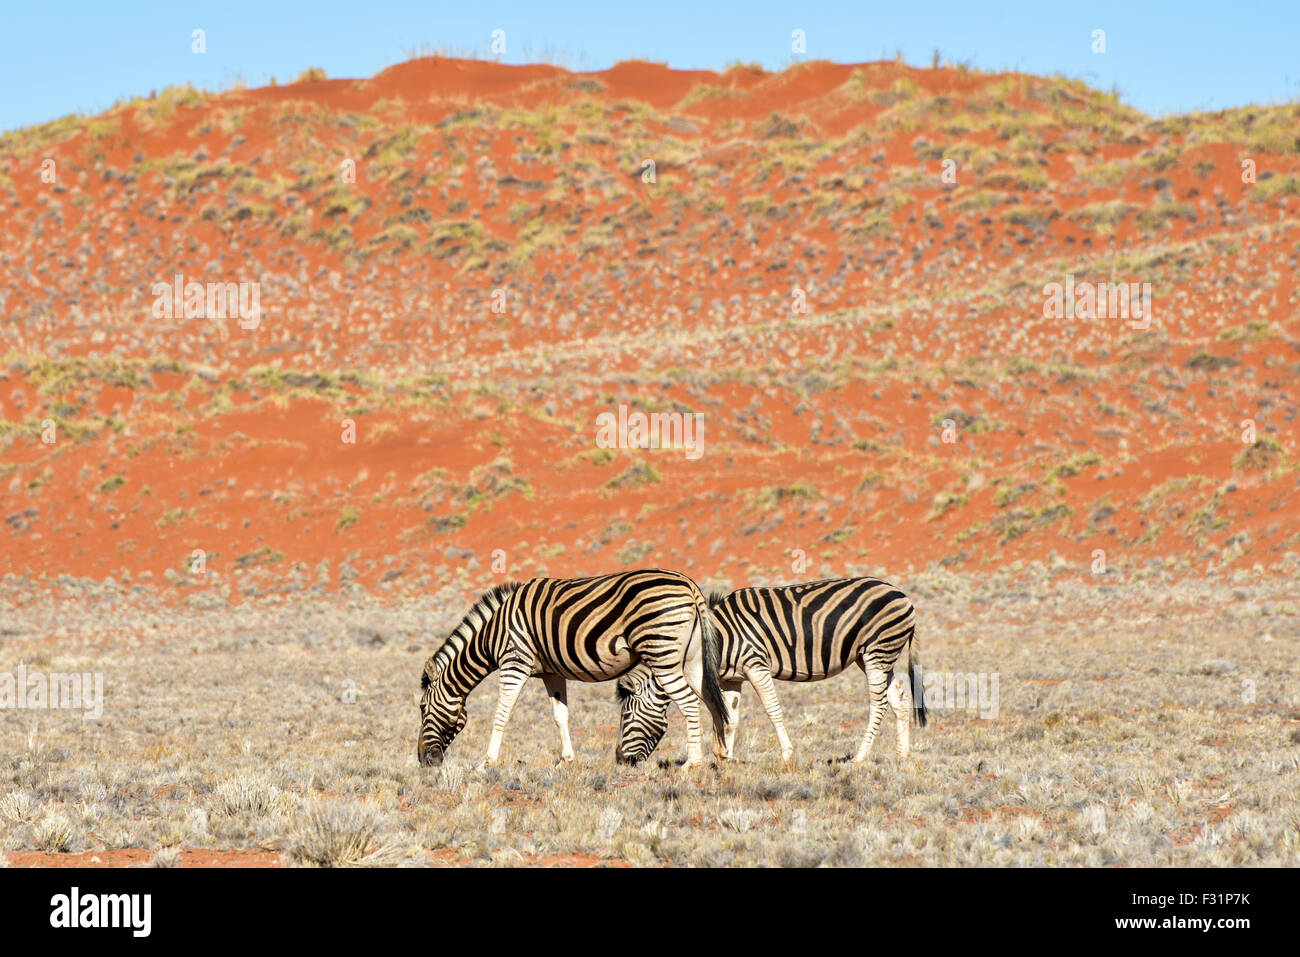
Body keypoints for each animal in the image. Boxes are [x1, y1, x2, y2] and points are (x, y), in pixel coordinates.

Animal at [417, 569, 729, 768]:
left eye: (421, 708)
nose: (424, 761)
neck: (493, 634)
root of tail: (689, 585)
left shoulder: (514, 663)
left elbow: (501, 714)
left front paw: (487, 762)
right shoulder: (551, 672)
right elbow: (560, 715)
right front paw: (566, 760)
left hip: (661, 654)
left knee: (690, 703)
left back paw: (693, 763)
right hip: (692, 660)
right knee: (712, 701)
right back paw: (720, 756)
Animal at [615, 577, 925, 765]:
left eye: (626, 715)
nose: (620, 759)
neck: (713, 640)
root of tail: (903, 596)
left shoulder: (755, 664)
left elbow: (772, 709)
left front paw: (787, 755)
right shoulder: (732, 679)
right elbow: (730, 716)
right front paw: (725, 757)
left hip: (877, 651)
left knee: (878, 703)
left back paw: (860, 757)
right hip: (875, 656)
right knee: (899, 698)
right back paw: (903, 754)